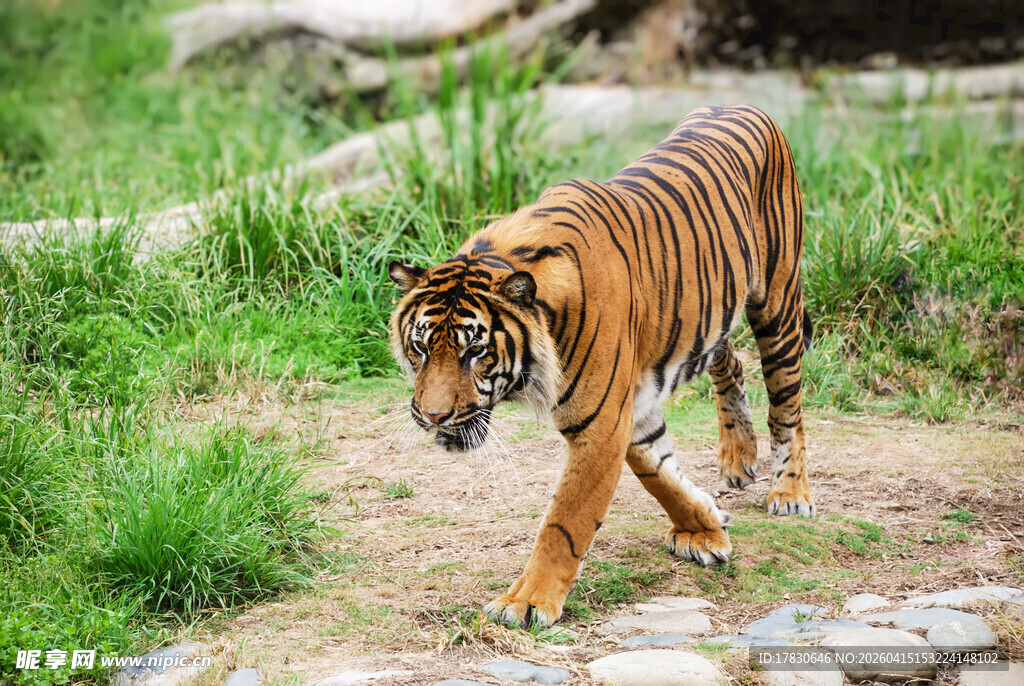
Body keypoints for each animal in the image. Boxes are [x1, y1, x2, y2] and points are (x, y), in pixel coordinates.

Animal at [388, 105, 815, 629]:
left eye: (475, 352)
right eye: (421, 348)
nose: (433, 417)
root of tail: (745, 107)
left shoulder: (602, 423)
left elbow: (565, 522)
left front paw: (525, 603)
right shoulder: (631, 406)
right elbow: (657, 471)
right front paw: (706, 528)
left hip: (777, 305)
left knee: (787, 407)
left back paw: (790, 493)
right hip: (709, 317)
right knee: (729, 361)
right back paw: (738, 461)